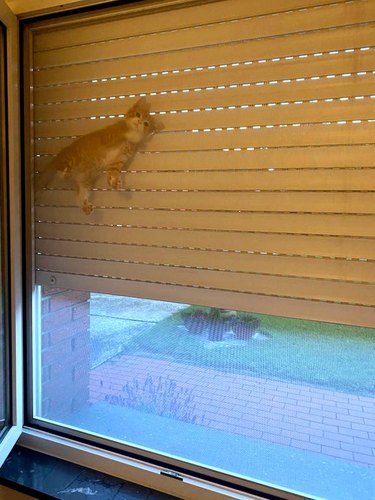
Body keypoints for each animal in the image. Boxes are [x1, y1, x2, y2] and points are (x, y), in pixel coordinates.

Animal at [35, 97, 163, 215]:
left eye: (146, 124)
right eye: (138, 114)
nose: (139, 122)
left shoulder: (119, 159)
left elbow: (113, 170)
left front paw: (114, 182)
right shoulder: (111, 136)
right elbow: (126, 133)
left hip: (86, 183)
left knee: (79, 197)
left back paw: (85, 206)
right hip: (69, 159)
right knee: (60, 168)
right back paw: (64, 171)